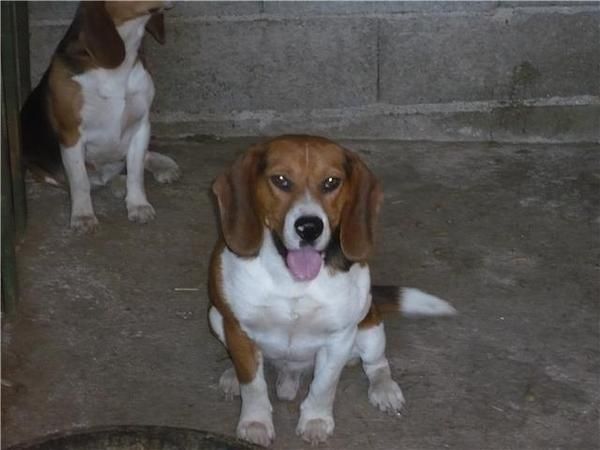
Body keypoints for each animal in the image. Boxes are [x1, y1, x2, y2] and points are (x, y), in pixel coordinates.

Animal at [21, 0, 180, 232]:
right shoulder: (71, 134)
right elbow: (80, 181)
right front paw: (83, 216)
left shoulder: (141, 127)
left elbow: (136, 173)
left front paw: (138, 205)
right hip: (41, 168)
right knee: (91, 180)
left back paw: (162, 167)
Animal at [207, 135, 454, 444]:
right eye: (281, 180)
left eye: (331, 182)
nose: (309, 227)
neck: (293, 280)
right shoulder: (237, 329)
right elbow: (253, 384)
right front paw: (255, 422)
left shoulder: (339, 337)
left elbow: (325, 385)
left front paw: (315, 420)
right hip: (215, 316)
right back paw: (232, 376)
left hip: (370, 330)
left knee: (377, 364)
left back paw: (384, 389)